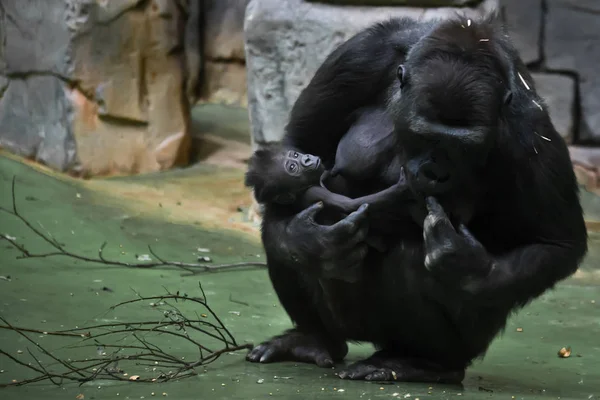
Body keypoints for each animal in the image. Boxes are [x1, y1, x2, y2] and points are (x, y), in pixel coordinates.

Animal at [245, 142, 412, 252]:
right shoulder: (314, 193)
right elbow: (350, 204)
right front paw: (401, 187)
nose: (306, 159)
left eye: (295, 155)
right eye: (292, 167)